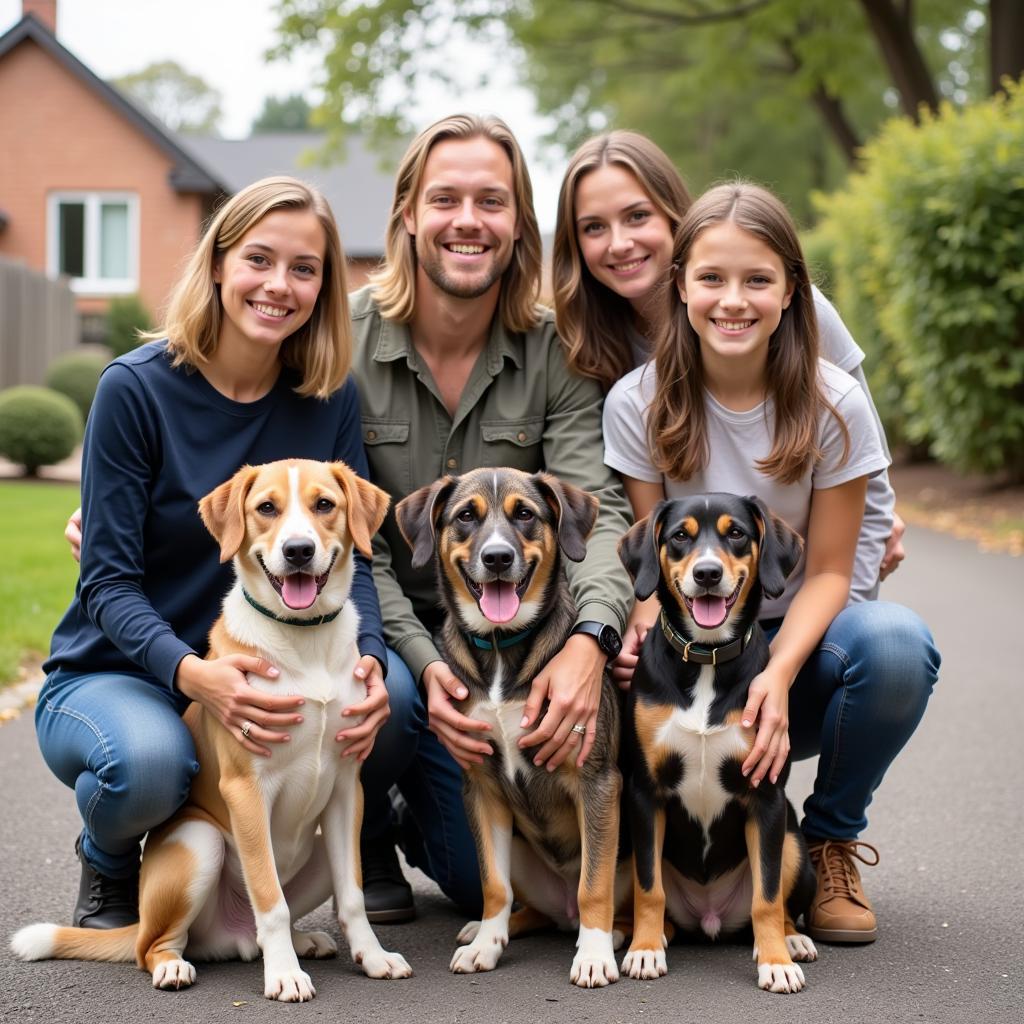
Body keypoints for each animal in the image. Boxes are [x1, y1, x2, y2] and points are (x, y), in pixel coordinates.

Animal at [12, 458, 411, 999]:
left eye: (324, 504)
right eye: (267, 508)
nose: (298, 551)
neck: (303, 638)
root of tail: (233, 936)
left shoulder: (348, 788)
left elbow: (352, 897)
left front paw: (372, 957)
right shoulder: (245, 790)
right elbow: (269, 895)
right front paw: (285, 976)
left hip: (317, 851)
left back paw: (301, 942)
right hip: (199, 842)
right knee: (156, 945)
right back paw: (178, 965)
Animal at [397, 468, 622, 987]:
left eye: (525, 514)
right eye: (465, 516)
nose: (497, 558)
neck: (501, 646)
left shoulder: (597, 782)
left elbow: (595, 884)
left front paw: (594, 955)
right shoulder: (481, 786)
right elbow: (493, 885)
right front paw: (486, 944)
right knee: (533, 908)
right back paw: (486, 929)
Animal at [614, 495, 815, 991]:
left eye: (736, 533)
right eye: (680, 536)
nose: (707, 573)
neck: (706, 658)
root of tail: (710, 917)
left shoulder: (766, 797)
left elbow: (767, 896)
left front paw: (776, 962)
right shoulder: (645, 793)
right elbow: (649, 889)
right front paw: (644, 950)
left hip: (793, 841)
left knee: (778, 900)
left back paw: (791, 939)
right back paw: (644, 934)